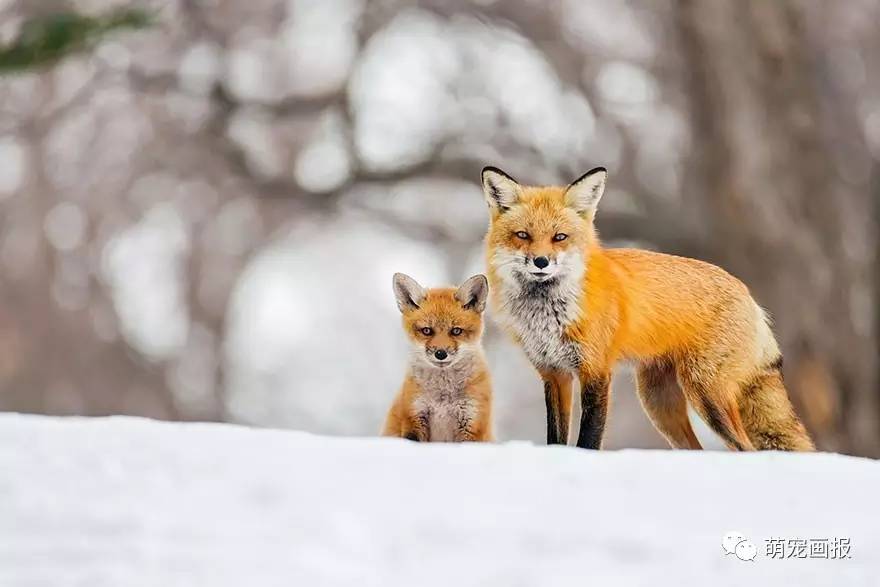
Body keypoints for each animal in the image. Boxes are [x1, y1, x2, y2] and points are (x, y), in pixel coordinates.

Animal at [382, 274, 496, 444]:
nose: (441, 354)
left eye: (456, 331)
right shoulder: (414, 418)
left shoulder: (472, 423)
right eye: (427, 331)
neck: (442, 397)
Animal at [482, 168, 812, 452]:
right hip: (658, 404)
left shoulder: (596, 370)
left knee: (745, 448)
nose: (541, 262)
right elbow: (556, 438)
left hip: (705, 393)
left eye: (559, 237)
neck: (548, 315)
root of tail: (748, 294)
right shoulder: (554, 374)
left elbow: (589, 439)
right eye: (523, 235)